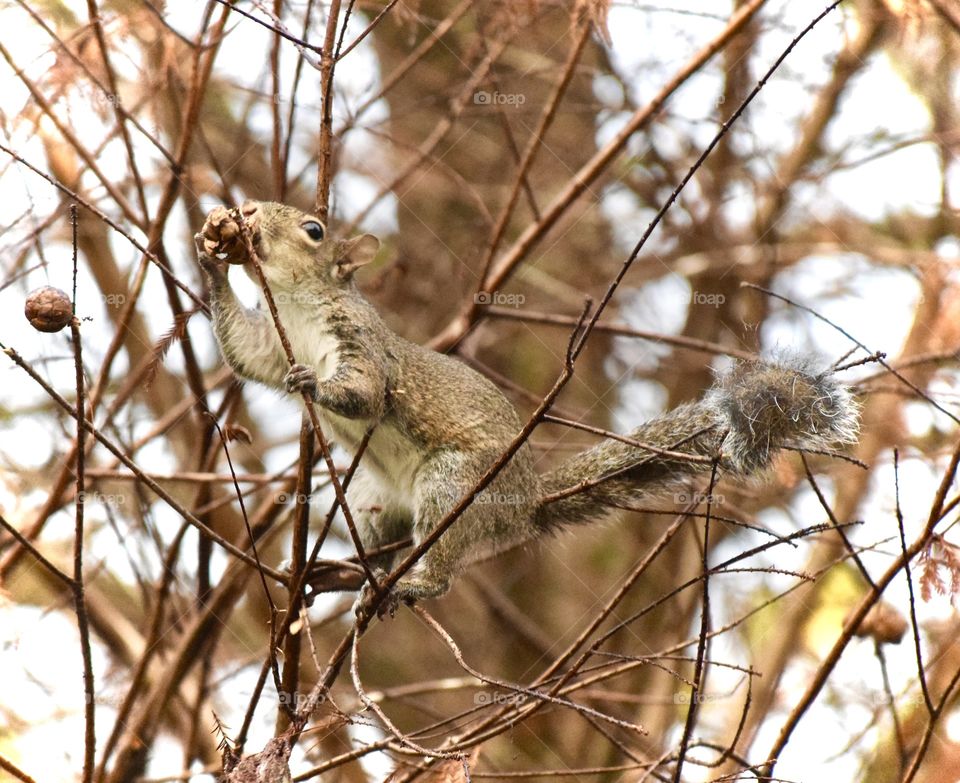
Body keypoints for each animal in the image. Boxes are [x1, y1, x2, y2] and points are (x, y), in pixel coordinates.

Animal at [196, 201, 859, 617]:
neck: (298, 306)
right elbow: (246, 353)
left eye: (313, 230)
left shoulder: (362, 342)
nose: (245, 212)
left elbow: (366, 388)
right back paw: (336, 573)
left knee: (441, 565)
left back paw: (415, 584)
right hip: (372, 499)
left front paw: (316, 385)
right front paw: (208, 260)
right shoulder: (270, 343)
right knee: (379, 548)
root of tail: (523, 504)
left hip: (454, 484)